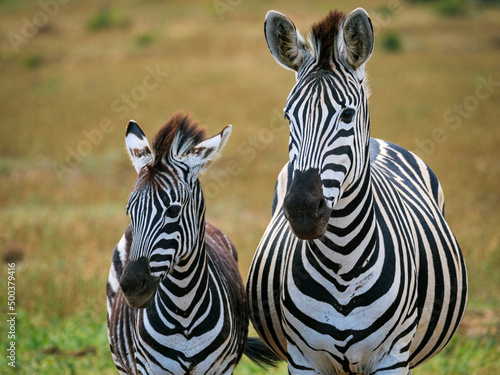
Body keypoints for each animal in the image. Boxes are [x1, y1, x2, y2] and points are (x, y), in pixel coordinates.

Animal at [107, 113, 280, 374]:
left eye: (173, 210)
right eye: (130, 211)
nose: (132, 286)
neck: (184, 308)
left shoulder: (221, 368)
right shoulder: (149, 368)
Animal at [248, 6, 466, 375]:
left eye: (347, 114)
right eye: (288, 116)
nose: (302, 211)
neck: (342, 263)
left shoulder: (392, 357)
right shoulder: (303, 359)